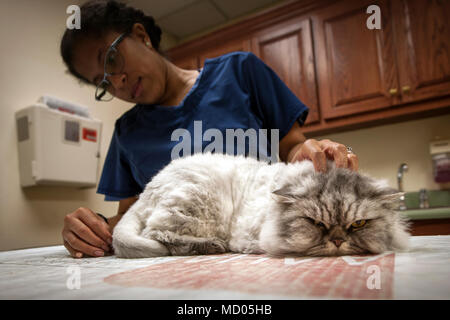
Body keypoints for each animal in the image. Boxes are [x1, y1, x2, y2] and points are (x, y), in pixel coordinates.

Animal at [112, 151, 412, 258]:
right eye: (316, 223)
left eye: (358, 224)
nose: (338, 241)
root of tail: (144, 192)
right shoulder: (249, 234)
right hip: (201, 201)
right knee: (160, 236)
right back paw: (211, 246)